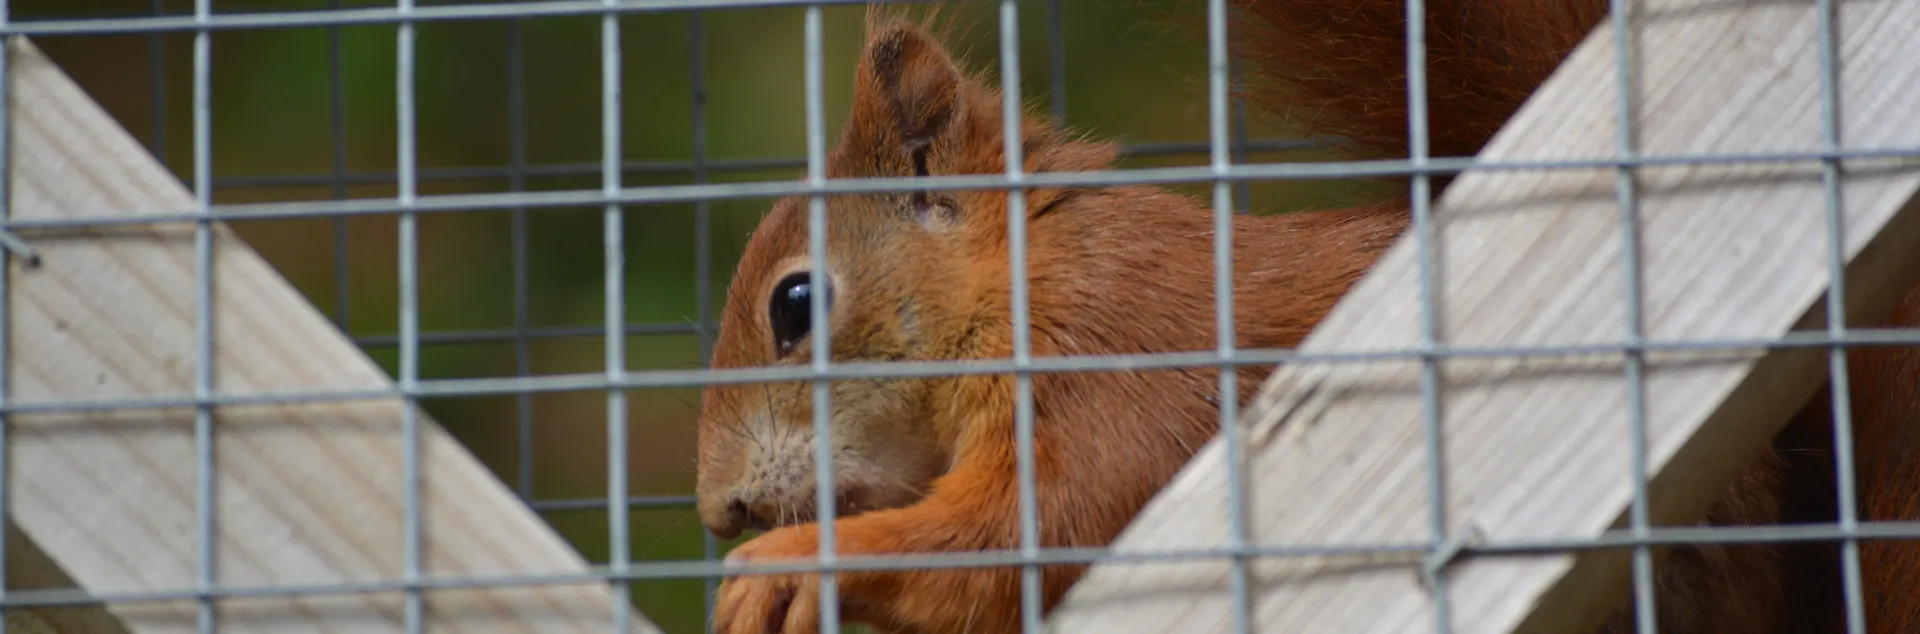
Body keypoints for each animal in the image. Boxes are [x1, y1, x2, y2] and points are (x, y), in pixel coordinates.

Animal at [691, 1, 1920, 633]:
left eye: (796, 303)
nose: (719, 510)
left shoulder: (1110, 369)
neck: (1028, 281)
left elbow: (1018, 537)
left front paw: (786, 563)